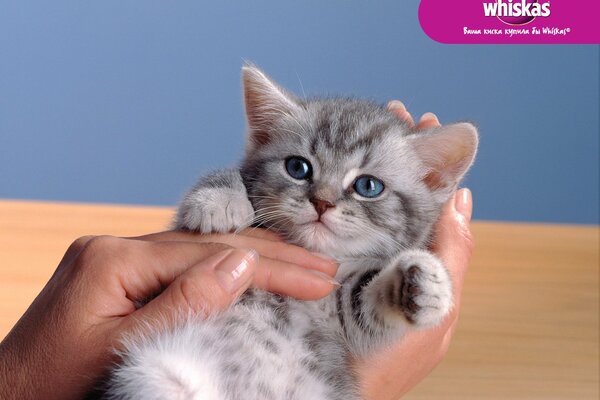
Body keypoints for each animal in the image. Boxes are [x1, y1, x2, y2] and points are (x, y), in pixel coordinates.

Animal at [103, 64, 478, 398]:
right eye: (298, 167)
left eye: (368, 186)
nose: (322, 202)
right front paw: (217, 200)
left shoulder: (335, 306)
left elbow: (362, 302)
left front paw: (423, 284)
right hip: (151, 374)